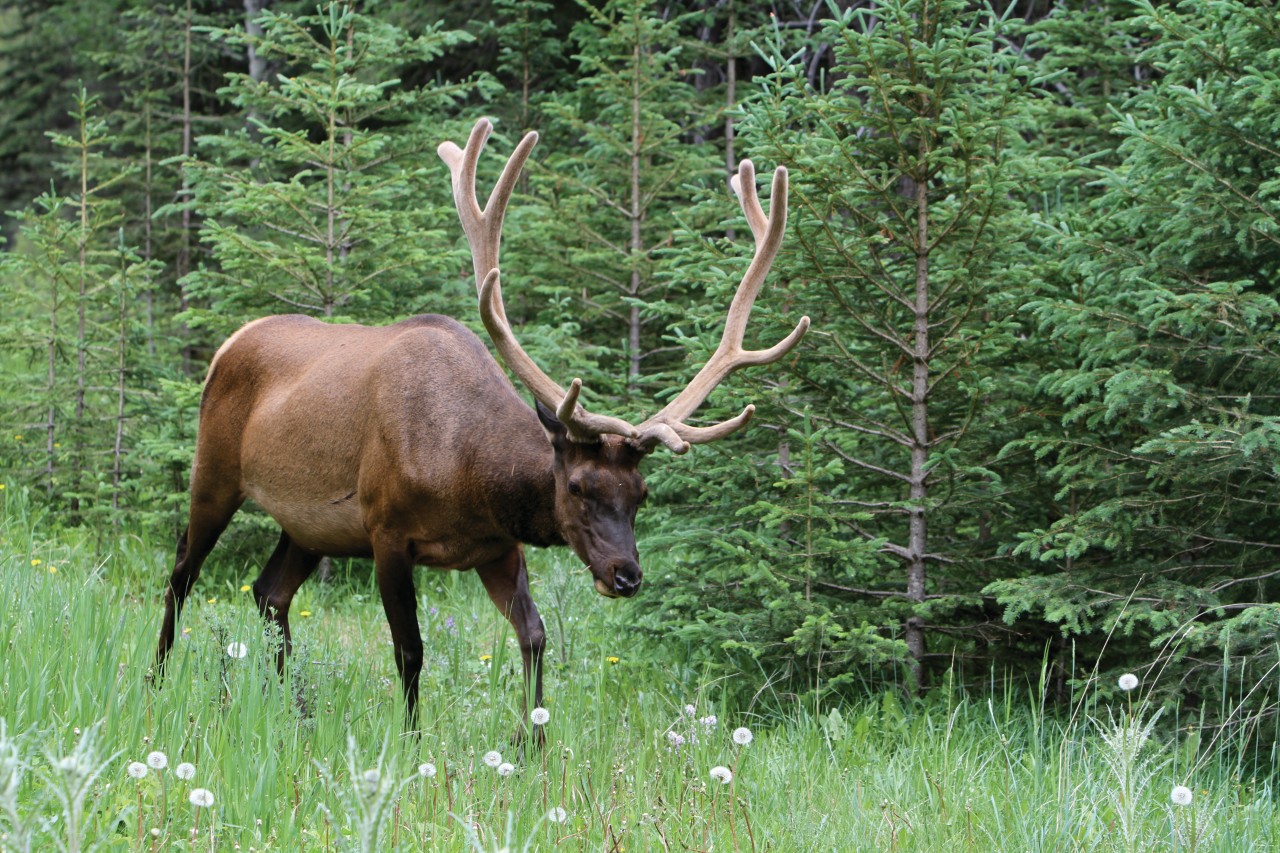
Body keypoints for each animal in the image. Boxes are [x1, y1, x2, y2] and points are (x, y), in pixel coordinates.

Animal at [152, 117, 808, 732]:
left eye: (641, 493)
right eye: (577, 485)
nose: (626, 576)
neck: (467, 477)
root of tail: (228, 343)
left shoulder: (497, 548)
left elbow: (535, 636)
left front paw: (531, 741)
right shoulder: (386, 530)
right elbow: (411, 650)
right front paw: (413, 740)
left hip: (310, 526)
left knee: (269, 593)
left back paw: (296, 708)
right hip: (214, 472)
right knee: (181, 573)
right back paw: (155, 680)